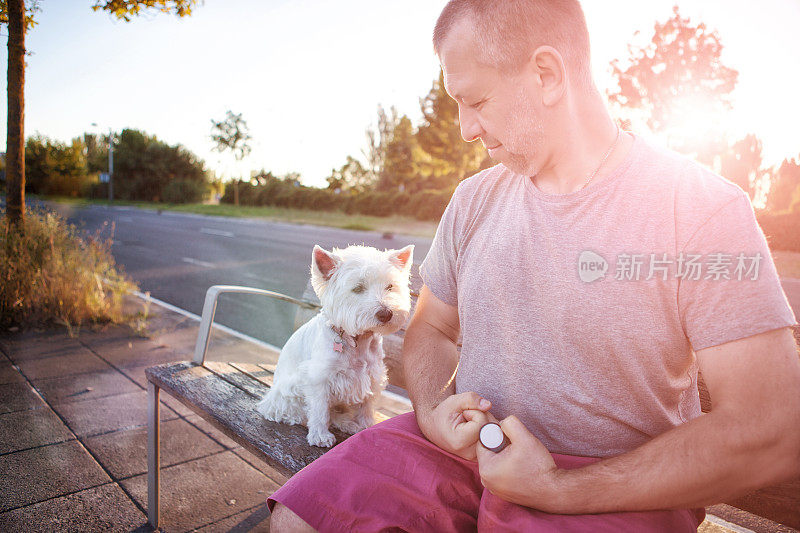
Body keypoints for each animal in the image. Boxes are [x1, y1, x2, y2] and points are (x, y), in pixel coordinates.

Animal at [258, 243, 412, 446]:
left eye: (390, 286)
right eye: (358, 288)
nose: (386, 314)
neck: (357, 340)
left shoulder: (372, 375)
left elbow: (366, 406)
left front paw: (366, 425)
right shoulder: (319, 378)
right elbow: (320, 409)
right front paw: (319, 435)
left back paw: (348, 423)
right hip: (286, 394)